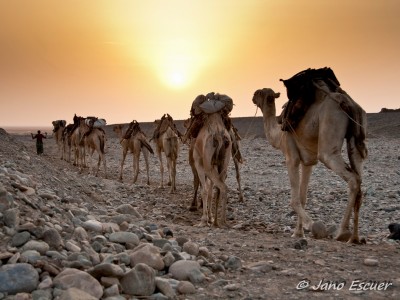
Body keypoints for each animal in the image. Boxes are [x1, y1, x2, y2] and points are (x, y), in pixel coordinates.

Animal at [252, 80, 368, 244]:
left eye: (259, 93)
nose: (253, 96)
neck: (278, 133)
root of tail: (347, 103)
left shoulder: (291, 158)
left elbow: (294, 199)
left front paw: (311, 225)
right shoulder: (308, 162)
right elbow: (303, 198)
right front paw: (298, 233)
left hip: (328, 141)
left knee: (352, 179)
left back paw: (342, 232)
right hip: (356, 141)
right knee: (359, 180)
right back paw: (355, 237)